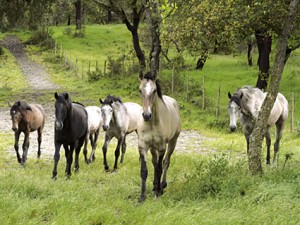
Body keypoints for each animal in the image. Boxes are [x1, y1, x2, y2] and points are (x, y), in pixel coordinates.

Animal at [137, 72, 182, 202]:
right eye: (140, 90)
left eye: (154, 90)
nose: (146, 115)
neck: (152, 123)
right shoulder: (143, 146)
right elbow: (144, 170)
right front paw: (142, 197)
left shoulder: (162, 147)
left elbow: (159, 168)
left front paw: (157, 193)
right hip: (153, 147)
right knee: (154, 161)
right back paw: (154, 185)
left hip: (172, 142)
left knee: (166, 162)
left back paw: (162, 186)